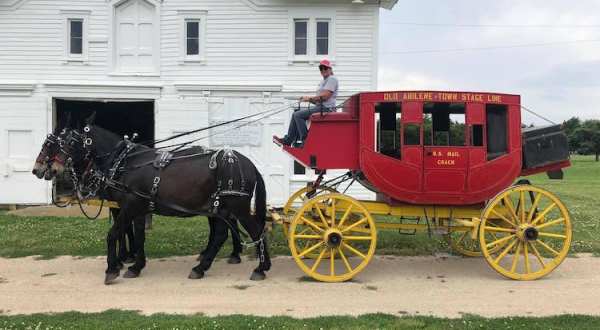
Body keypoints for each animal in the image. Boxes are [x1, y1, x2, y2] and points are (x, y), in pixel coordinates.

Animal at [50, 124, 270, 284]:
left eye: (70, 142)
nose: (53, 169)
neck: (127, 163)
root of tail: (248, 163)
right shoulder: (138, 209)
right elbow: (139, 236)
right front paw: (135, 266)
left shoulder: (130, 206)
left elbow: (113, 234)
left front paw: (112, 269)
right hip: (220, 208)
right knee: (221, 235)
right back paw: (202, 267)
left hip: (237, 206)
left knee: (256, 231)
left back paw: (260, 268)